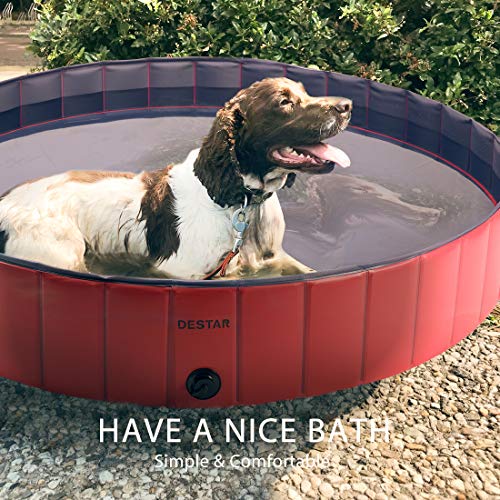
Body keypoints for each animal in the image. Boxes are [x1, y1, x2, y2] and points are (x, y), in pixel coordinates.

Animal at [0, 77, 351, 279]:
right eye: (284, 102)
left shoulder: (274, 258)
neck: (241, 203)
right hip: (61, 254)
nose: (346, 105)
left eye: (305, 92)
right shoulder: (183, 272)